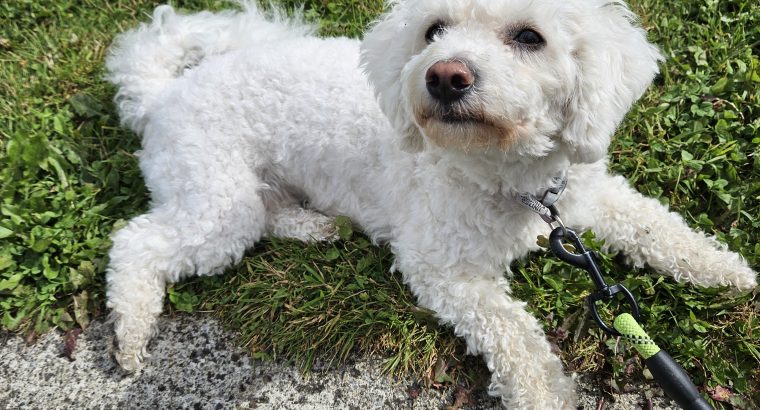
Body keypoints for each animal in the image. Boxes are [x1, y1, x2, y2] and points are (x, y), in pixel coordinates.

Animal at [105, 0, 756, 406]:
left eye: (530, 36)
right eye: (434, 30)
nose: (444, 76)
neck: (513, 180)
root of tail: (163, 93)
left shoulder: (589, 195)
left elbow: (657, 228)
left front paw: (729, 272)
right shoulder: (440, 267)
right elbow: (514, 335)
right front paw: (544, 394)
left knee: (268, 215)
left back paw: (316, 227)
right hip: (217, 199)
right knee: (136, 242)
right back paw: (131, 336)